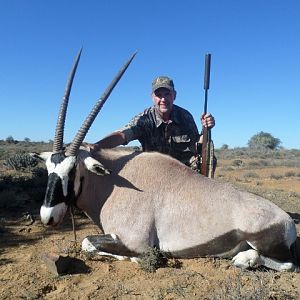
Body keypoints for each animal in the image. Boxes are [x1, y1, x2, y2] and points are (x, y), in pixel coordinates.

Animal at [36, 51, 298, 272]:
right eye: (49, 169)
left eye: (73, 170)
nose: (48, 217)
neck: (111, 182)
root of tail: (288, 222)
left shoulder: (136, 241)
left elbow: (89, 243)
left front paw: (137, 258)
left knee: (289, 265)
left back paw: (243, 259)